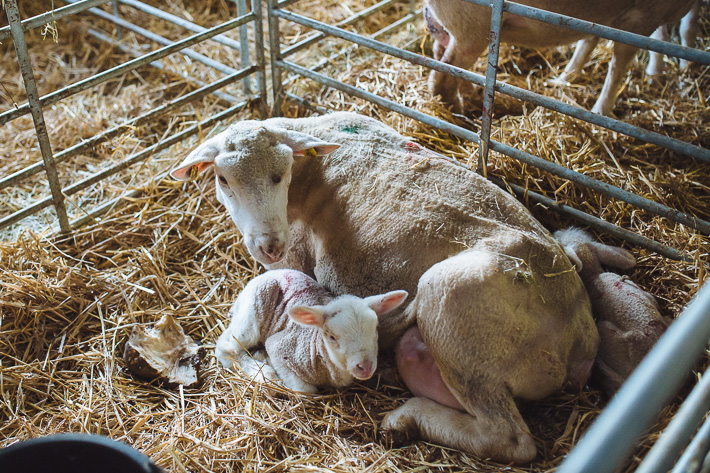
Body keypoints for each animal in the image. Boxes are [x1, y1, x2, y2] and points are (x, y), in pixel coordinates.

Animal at [214, 268, 408, 392]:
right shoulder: (279, 347)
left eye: (375, 329)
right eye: (332, 337)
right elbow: (306, 391)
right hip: (253, 310)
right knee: (228, 348)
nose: (365, 366)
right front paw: (266, 365)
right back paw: (262, 372)